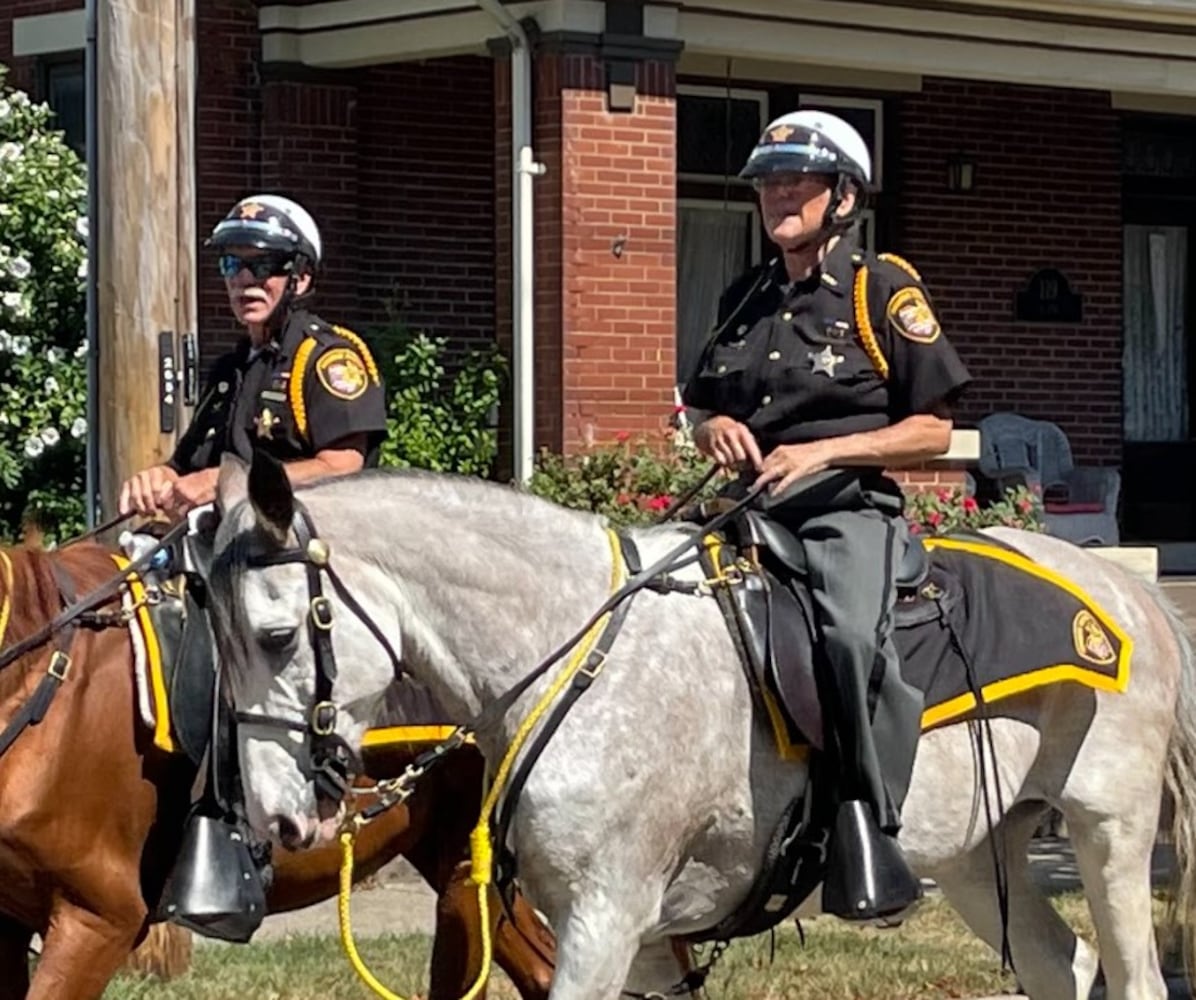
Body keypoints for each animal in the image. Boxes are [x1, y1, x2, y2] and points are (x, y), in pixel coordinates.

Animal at [212, 454, 1196, 1000]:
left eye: (275, 635)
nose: (276, 820)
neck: (576, 654)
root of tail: (1128, 592)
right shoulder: (648, 940)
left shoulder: (605, 923)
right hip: (976, 855)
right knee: (1060, 966)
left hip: (1108, 833)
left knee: (1134, 976)